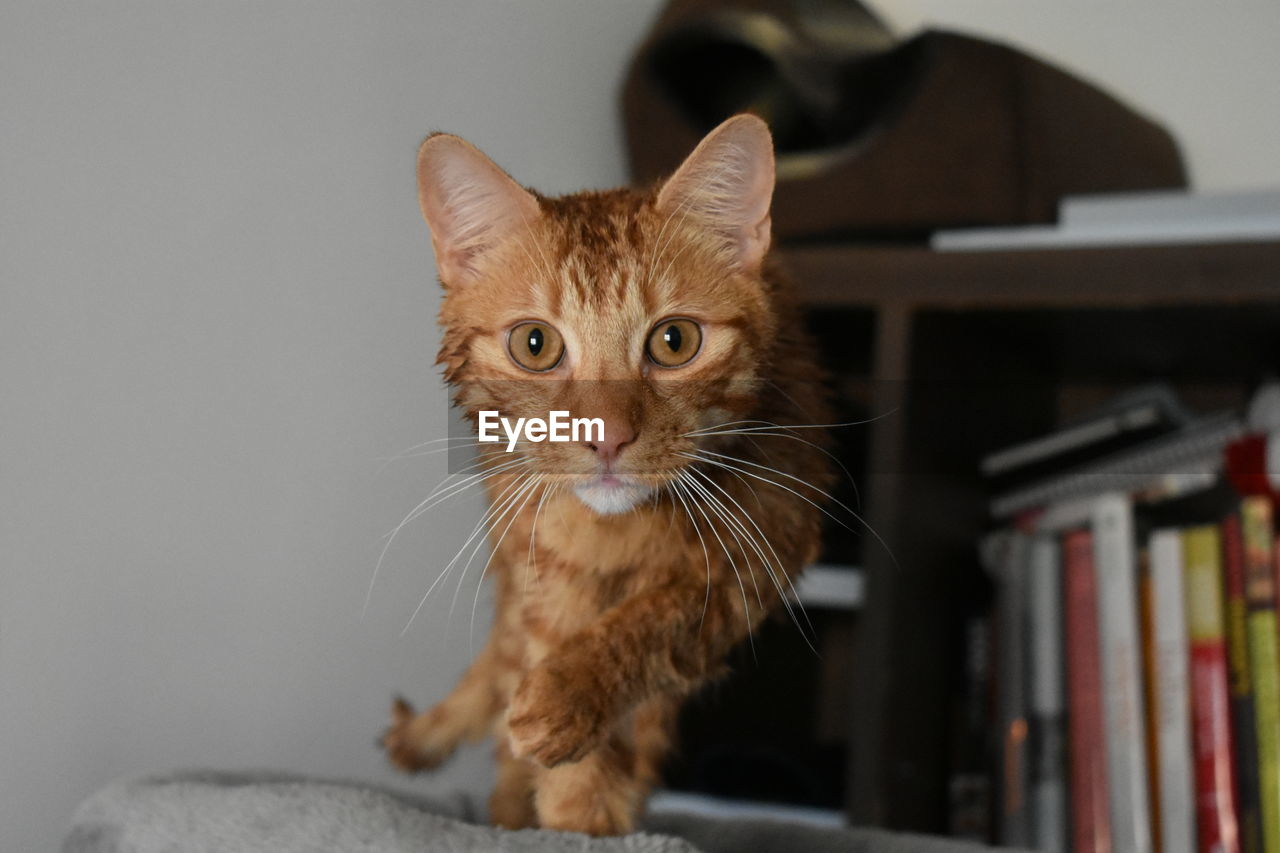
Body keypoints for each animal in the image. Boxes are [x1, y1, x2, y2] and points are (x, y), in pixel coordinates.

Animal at [384, 111, 834, 829]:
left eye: (675, 341)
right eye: (534, 345)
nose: (607, 438)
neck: (620, 534)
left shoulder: (766, 543)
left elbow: (659, 620)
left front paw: (571, 705)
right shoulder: (546, 566)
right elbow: (548, 682)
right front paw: (570, 811)